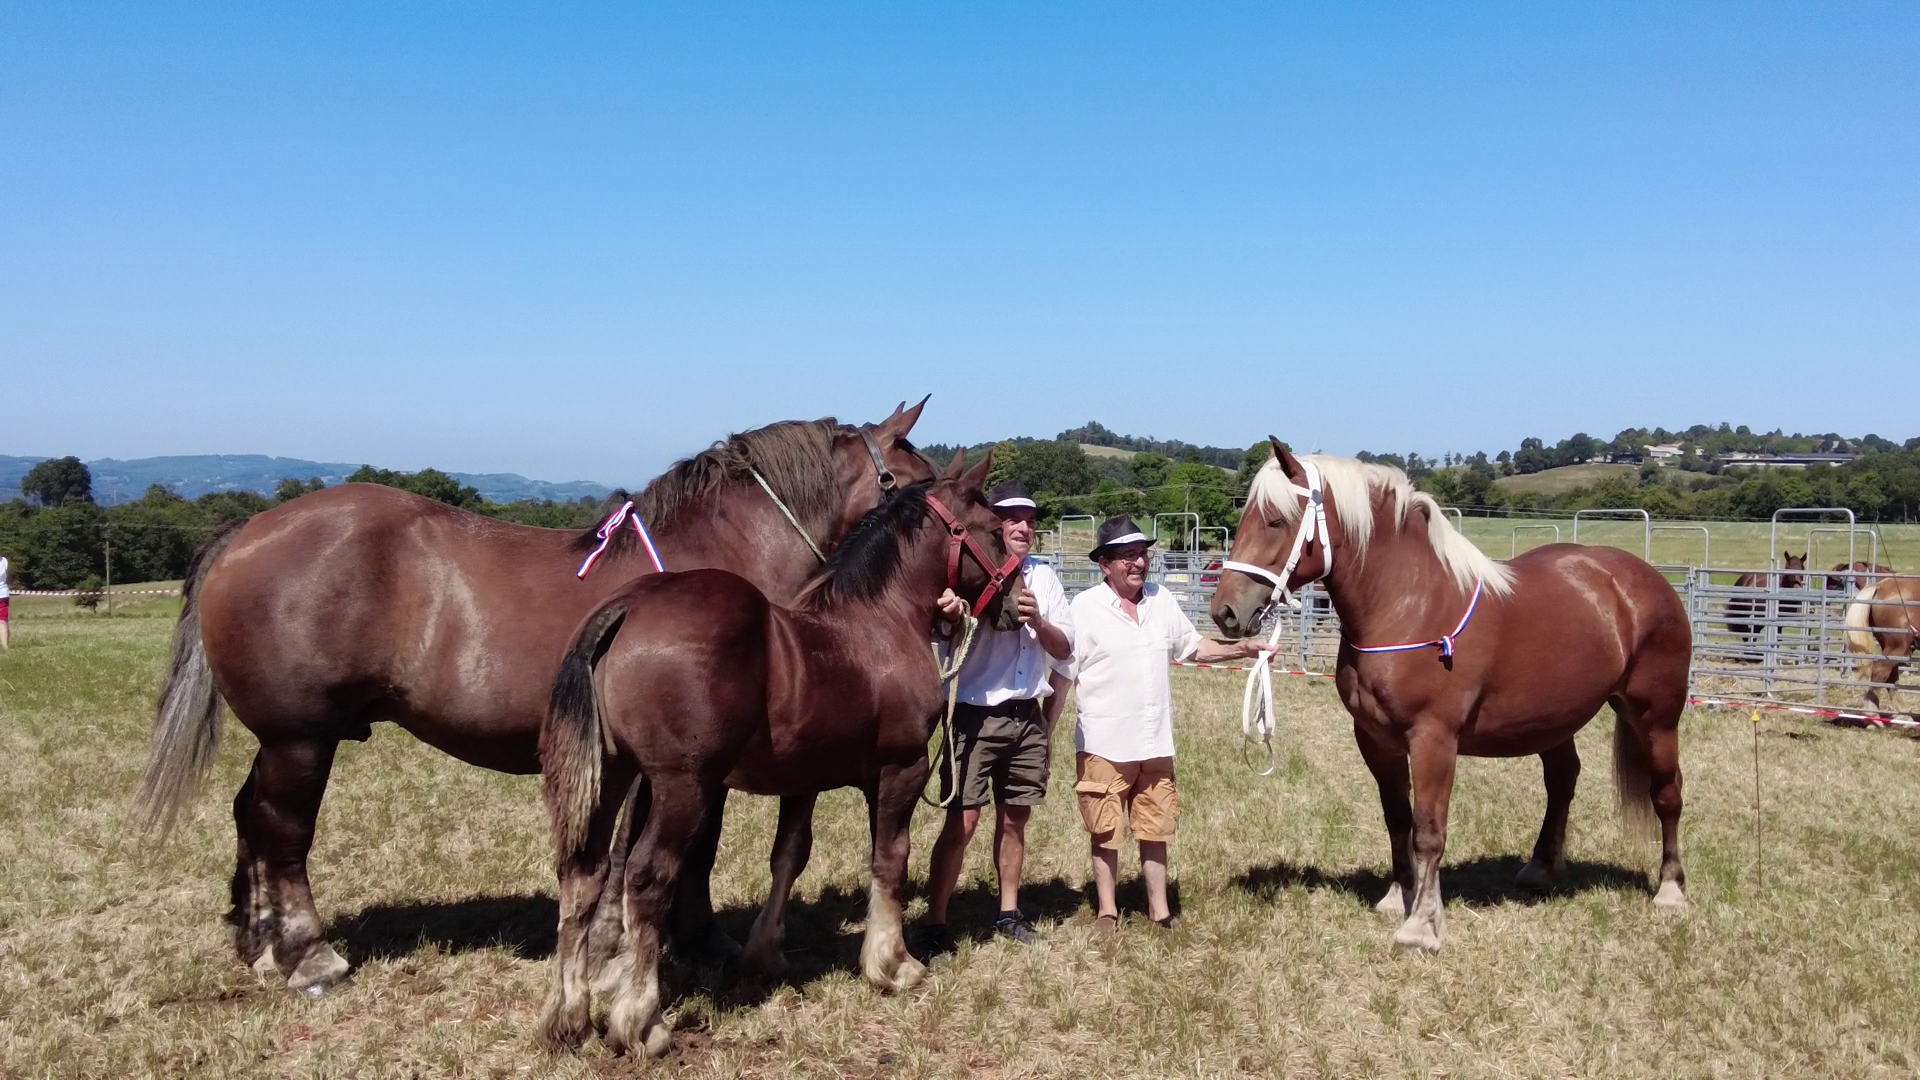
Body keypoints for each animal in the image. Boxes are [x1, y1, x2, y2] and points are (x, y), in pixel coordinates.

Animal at [134, 401, 935, 994]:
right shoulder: (687, 763)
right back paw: (307, 955)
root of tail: (249, 530)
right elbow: (687, 851)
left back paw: (257, 940)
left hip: (282, 740)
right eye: (917, 477)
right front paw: (689, 941)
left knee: (249, 815)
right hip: (301, 739)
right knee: (283, 831)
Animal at [538, 450, 1022, 1056]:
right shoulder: (900, 770)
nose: (1018, 603)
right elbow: (891, 858)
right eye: (995, 531)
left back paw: (569, 1018)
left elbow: (789, 855)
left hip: (613, 777)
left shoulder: (803, 779)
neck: (880, 622)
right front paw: (892, 964)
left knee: (584, 873)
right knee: (647, 878)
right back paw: (642, 1023)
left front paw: (764, 954)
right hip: (682, 788)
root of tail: (629, 606)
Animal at [1210, 439, 1692, 952]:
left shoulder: (1433, 739)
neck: (1411, 605)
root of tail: (1646, 580)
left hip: (1656, 717)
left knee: (1667, 793)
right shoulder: (1375, 740)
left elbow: (1428, 831)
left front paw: (1422, 925)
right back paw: (1541, 868)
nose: (1225, 612)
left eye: (1275, 521)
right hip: (1553, 722)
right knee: (1563, 781)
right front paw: (1398, 897)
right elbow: (1398, 819)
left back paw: (1670, 889)